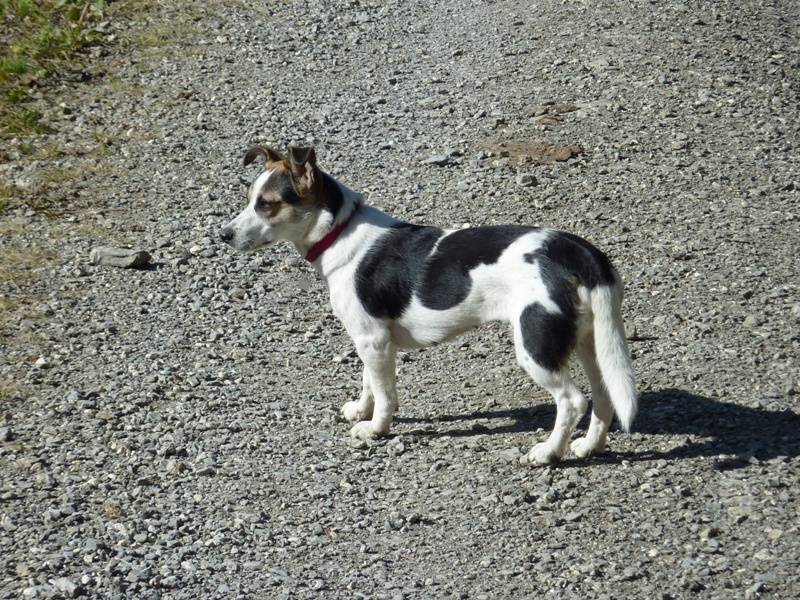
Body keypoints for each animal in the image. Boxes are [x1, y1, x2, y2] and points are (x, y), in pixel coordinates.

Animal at [219, 145, 636, 464]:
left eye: (267, 204)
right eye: (248, 200)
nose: (223, 235)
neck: (338, 231)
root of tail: (576, 251)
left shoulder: (373, 340)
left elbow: (385, 394)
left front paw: (375, 428)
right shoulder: (371, 341)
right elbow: (370, 383)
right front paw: (360, 410)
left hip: (536, 345)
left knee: (573, 401)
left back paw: (548, 452)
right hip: (590, 341)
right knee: (604, 394)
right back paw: (589, 446)